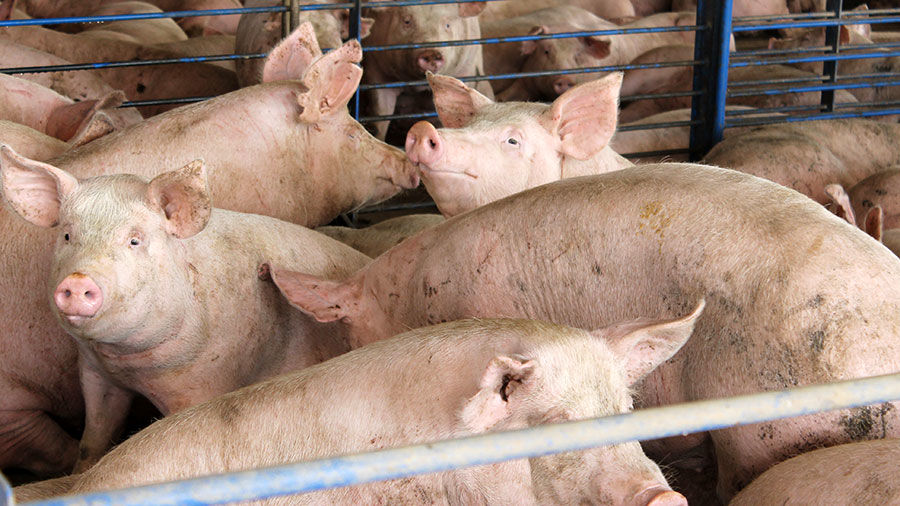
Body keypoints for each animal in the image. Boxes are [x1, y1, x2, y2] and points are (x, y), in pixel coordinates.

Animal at [0, 150, 373, 472]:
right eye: (66, 235)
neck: (131, 365)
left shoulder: (203, 382)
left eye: (135, 240)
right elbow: (94, 436)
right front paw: (81, 471)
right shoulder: (95, 372)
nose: (77, 281)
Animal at [361, 0, 494, 140]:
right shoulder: (376, 71)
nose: (431, 52)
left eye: (447, 25)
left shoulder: (466, 70)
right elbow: (381, 114)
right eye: (407, 21)